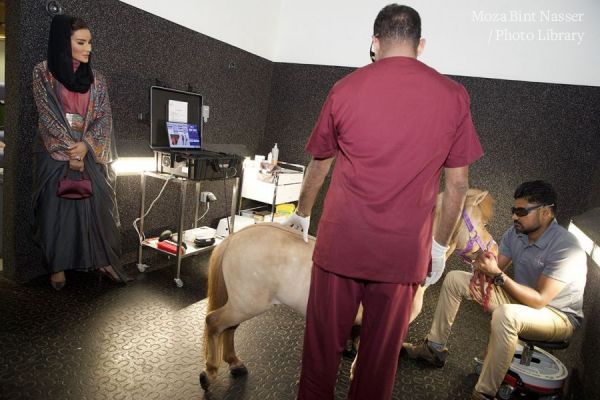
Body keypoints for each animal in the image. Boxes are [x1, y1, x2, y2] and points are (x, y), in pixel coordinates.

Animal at [199, 188, 494, 390]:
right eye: (484, 224)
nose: (492, 253)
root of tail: (237, 236)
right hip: (246, 304)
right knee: (214, 323)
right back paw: (210, 372)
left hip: (243, 303)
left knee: (228, 329)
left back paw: (235, 363)